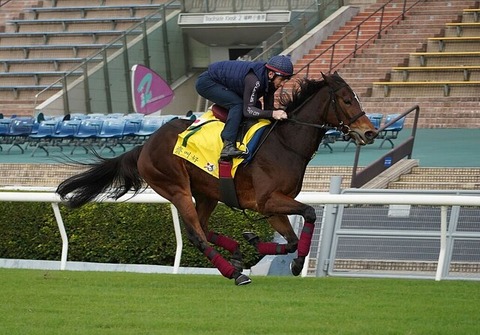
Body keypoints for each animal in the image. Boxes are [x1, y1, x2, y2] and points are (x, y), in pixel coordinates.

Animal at [57, 71, 378, 286]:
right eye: (347, 100)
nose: (370, 131)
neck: (285, 143)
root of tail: (145, 146)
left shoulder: (273, 206)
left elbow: (289, 240)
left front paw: (262, 244)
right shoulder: (268, 200)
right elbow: (310, 212)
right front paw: (297, 262)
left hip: (208, 192)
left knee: (203, 226)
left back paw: (236, 252)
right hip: (176, 188)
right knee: (196, 234)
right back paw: (233, 272)